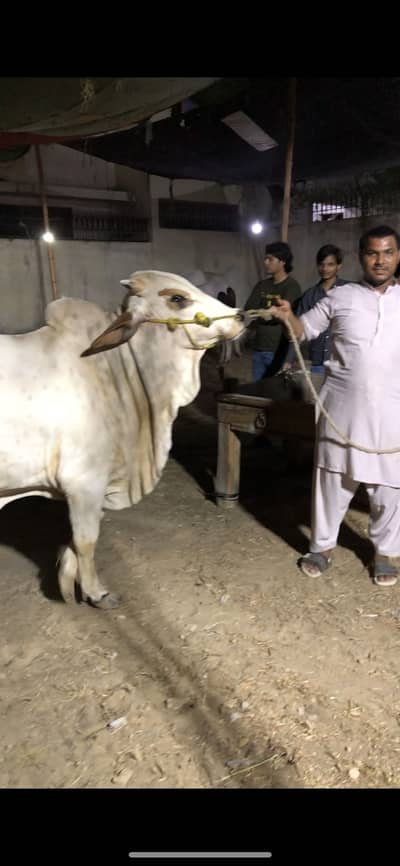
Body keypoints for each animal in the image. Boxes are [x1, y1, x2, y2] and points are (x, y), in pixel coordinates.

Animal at [0, 271, 246, 609]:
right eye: (177, 298)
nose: (239, 315)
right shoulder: (84, 480)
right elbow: (86, 540)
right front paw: (96, 593)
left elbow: (76, 539)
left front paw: (67, 580)